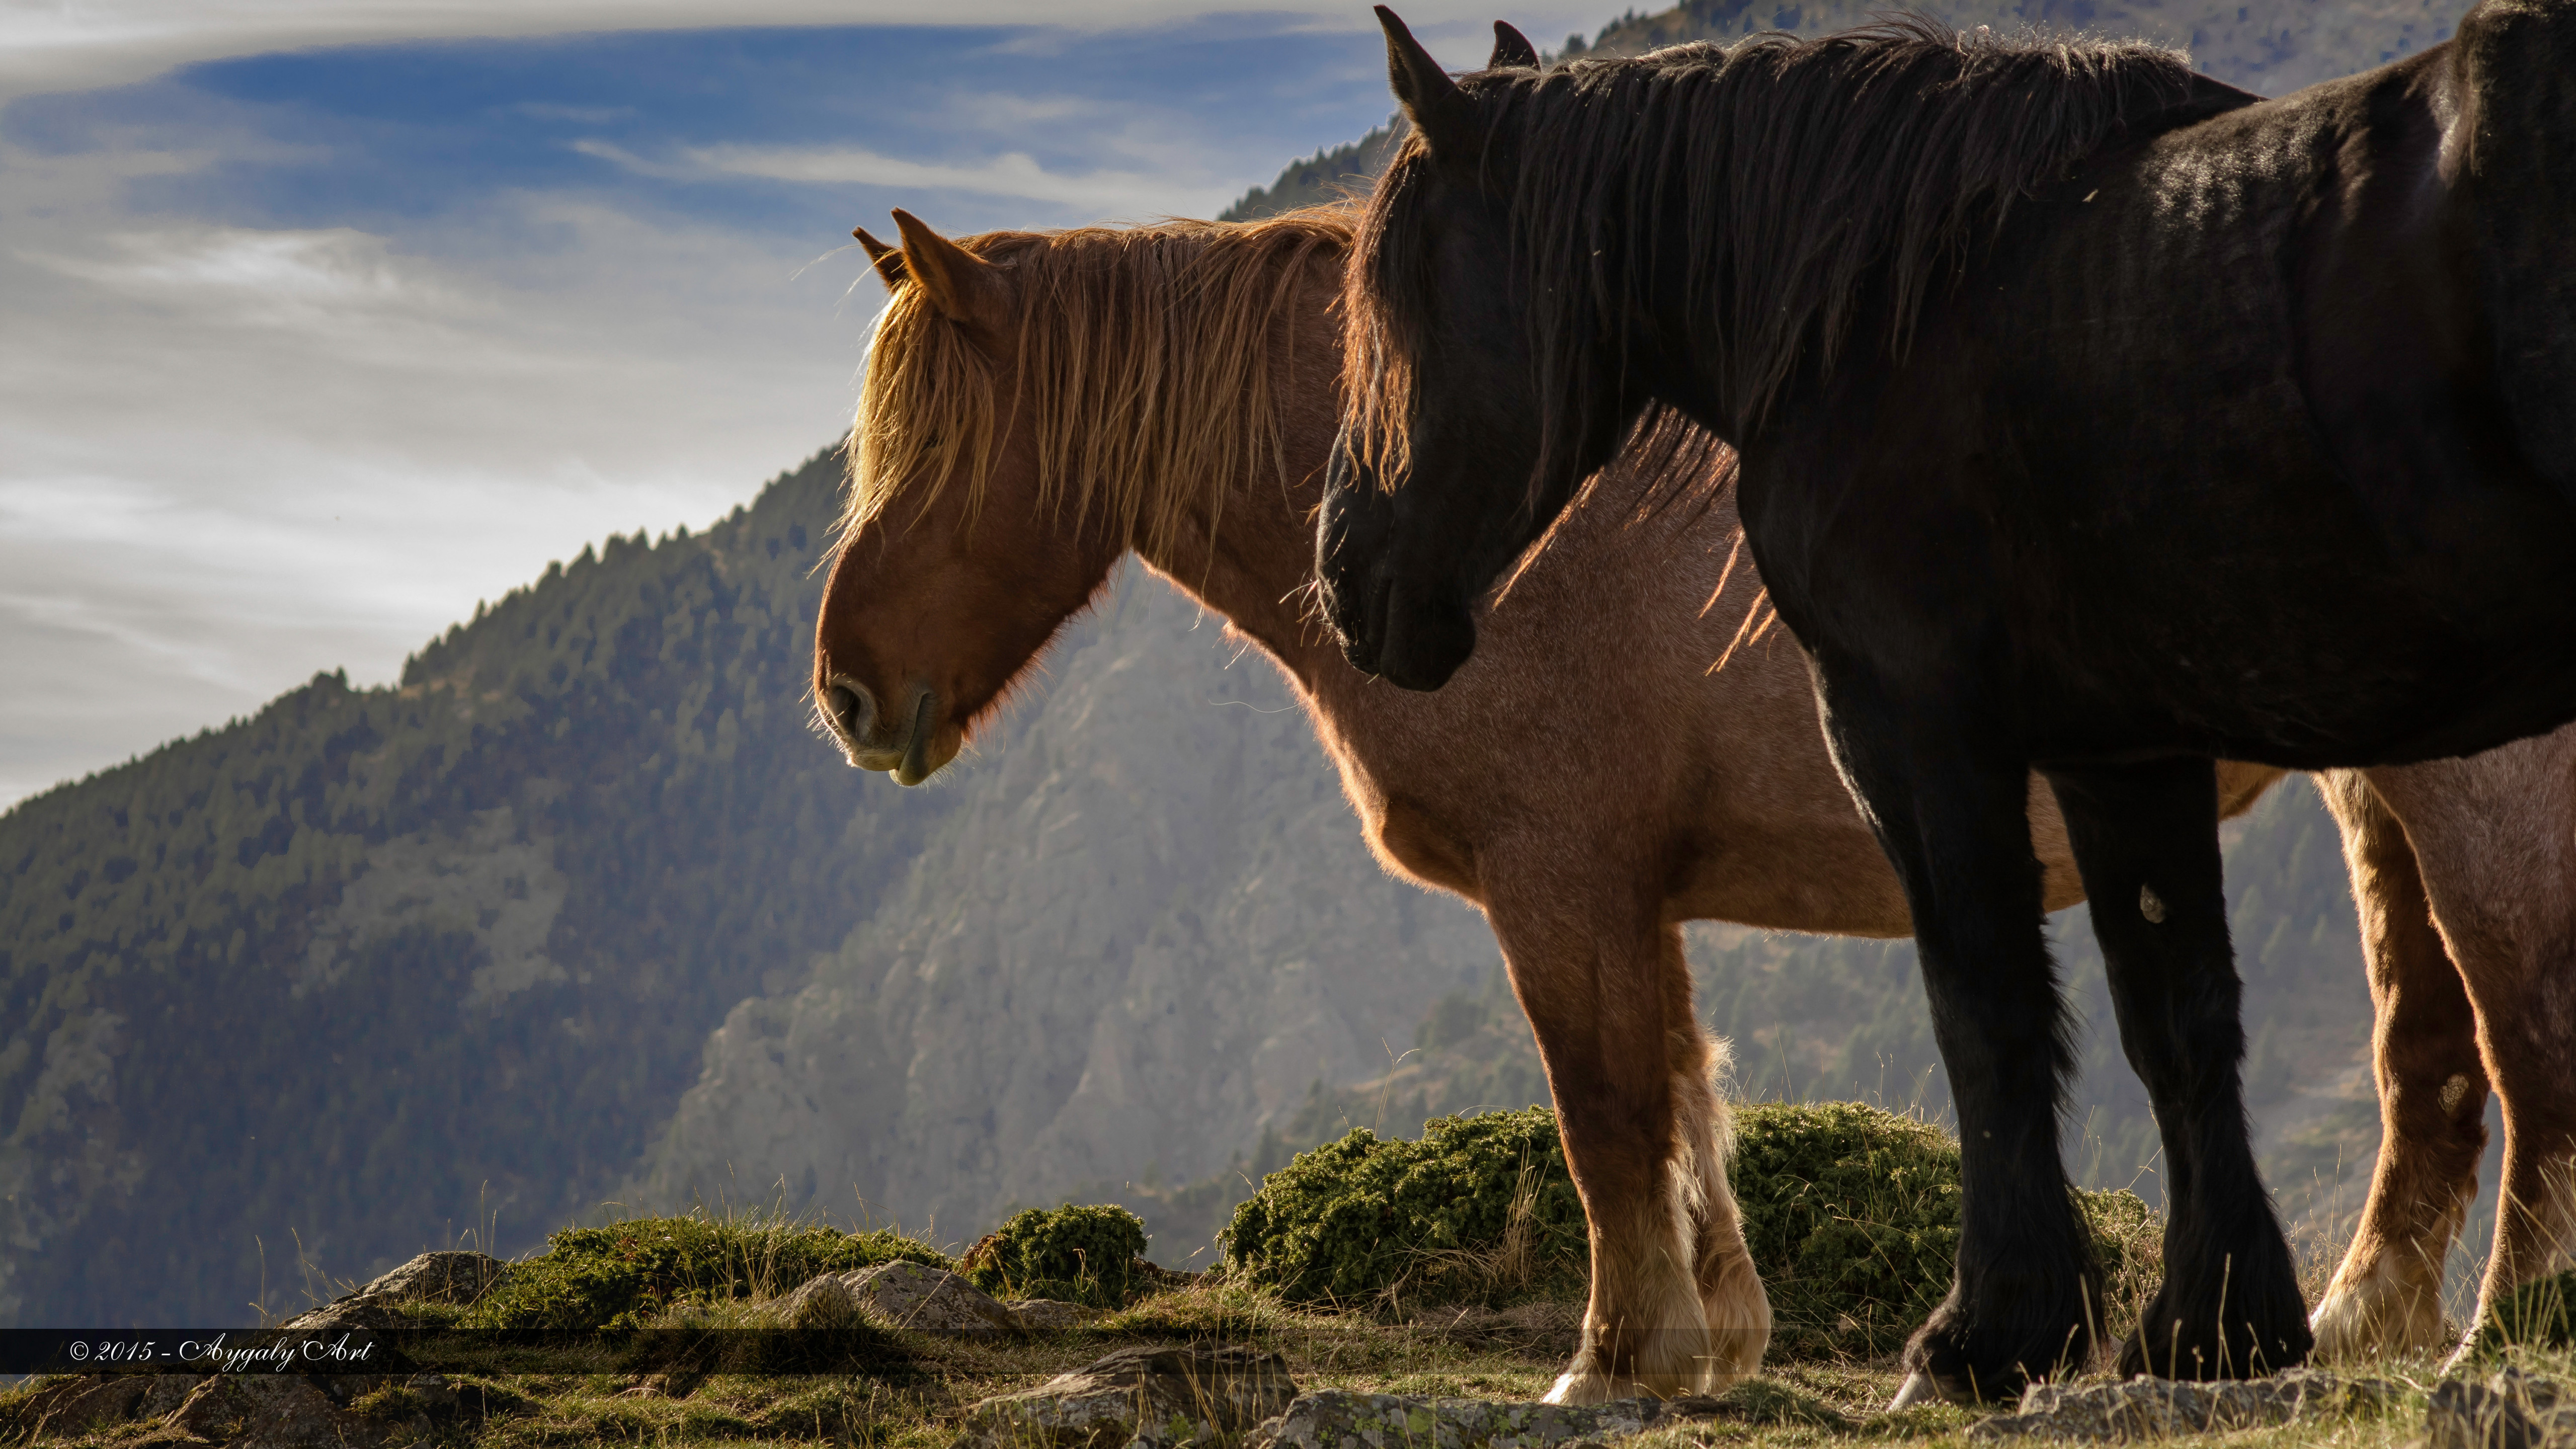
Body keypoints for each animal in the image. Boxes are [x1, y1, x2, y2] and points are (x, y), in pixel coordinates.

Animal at [814, 209, 2576, 1392]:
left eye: (936, 447)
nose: (842, 693)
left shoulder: (1559, 883)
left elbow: (1603, 1113)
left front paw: (1611, 1360)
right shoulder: (1630, 892)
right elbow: (1680, 1100)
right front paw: (1711, 1341)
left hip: (2468, 797)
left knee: (2522, 1040)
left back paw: (2504, 1331)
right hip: (2376, 798)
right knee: (2426, 1059)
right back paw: (2356, 1323)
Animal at [1319, 0, 2576, 1402]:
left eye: (1398, 301)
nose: (1344, 576)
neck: (1888, 312)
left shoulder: (1914, 731)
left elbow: (1985, 1010)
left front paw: (1987, 1334)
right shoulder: (2120, 745)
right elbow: (2174, 1014)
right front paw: (2209, 1328)